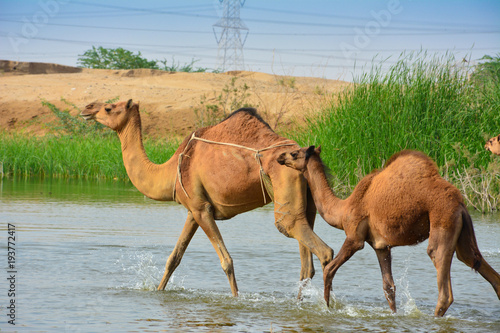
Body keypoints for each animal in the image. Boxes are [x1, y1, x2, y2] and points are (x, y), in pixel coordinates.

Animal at [80, 99, 334, 296]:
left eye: (109, 108)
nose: (87, 108)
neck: (172, 170)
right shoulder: (194, 209)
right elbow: (174, 258)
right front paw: (158, 291)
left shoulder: (201, 209)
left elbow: (226, 261)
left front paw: (236, 299)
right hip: (306, 201)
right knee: (306, 264)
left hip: (285, 187)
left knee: (315, 247)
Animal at [278, 147, 500, 316]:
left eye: (295, 153)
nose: (280, 157)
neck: (343, 210)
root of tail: (461, 205)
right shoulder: (381, 246)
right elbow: (389, 287)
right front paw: (394, 315)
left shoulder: (354, 237)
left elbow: (329, 270)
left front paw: (327, 308)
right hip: (462, 234)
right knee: (477, 263)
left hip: (443, 223)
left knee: (443, 286)